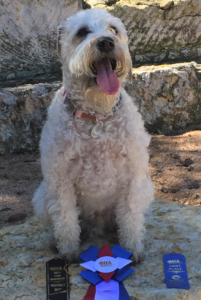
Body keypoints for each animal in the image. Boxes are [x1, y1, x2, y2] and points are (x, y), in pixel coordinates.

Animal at [32, 8, 154, 262]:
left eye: (114, 29)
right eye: (82, 32)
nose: (106, 42)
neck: (97, 115)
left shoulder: (133, 176)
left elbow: (130, 214)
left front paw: (132, 247)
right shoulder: (60, 179)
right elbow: (65, 217)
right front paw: (68, 250)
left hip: (147, 189)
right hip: (41, 196)